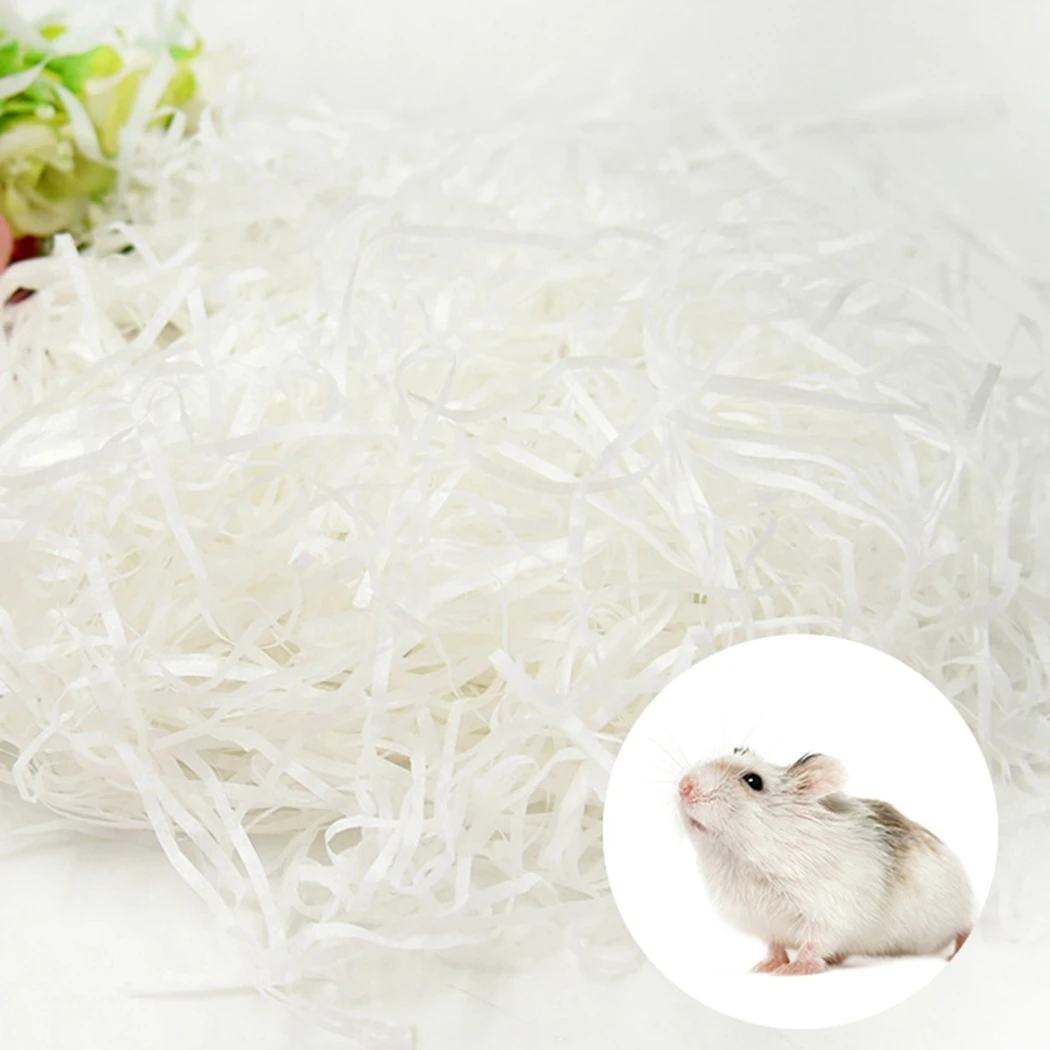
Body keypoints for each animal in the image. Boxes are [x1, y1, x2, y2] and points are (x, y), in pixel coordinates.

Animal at [677, 748, 974, 975]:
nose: (683, 786)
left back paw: (955, 954)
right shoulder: (761, 919)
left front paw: (793, 970)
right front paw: (765, 967)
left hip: (958, 911)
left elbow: (814, 943)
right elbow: (774, 944)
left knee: (964, 929)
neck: (745, 860)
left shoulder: (829, 912)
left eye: (753, 780)